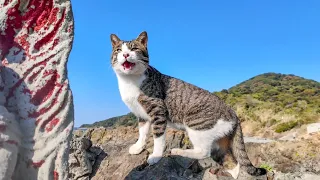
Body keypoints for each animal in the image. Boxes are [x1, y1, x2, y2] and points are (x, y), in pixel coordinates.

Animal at [109, 31, 266, 179]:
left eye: (134, 48)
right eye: (118, 50)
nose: (125, 54)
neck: (130, 81)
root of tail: (233, 112)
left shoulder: (158, 111)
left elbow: (158, 137)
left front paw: (155, 156)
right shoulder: (141, 115)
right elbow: (142, 133)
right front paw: (138, 147)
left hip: (195, 122)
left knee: (204, 152)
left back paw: (178, 151)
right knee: (233, 162)